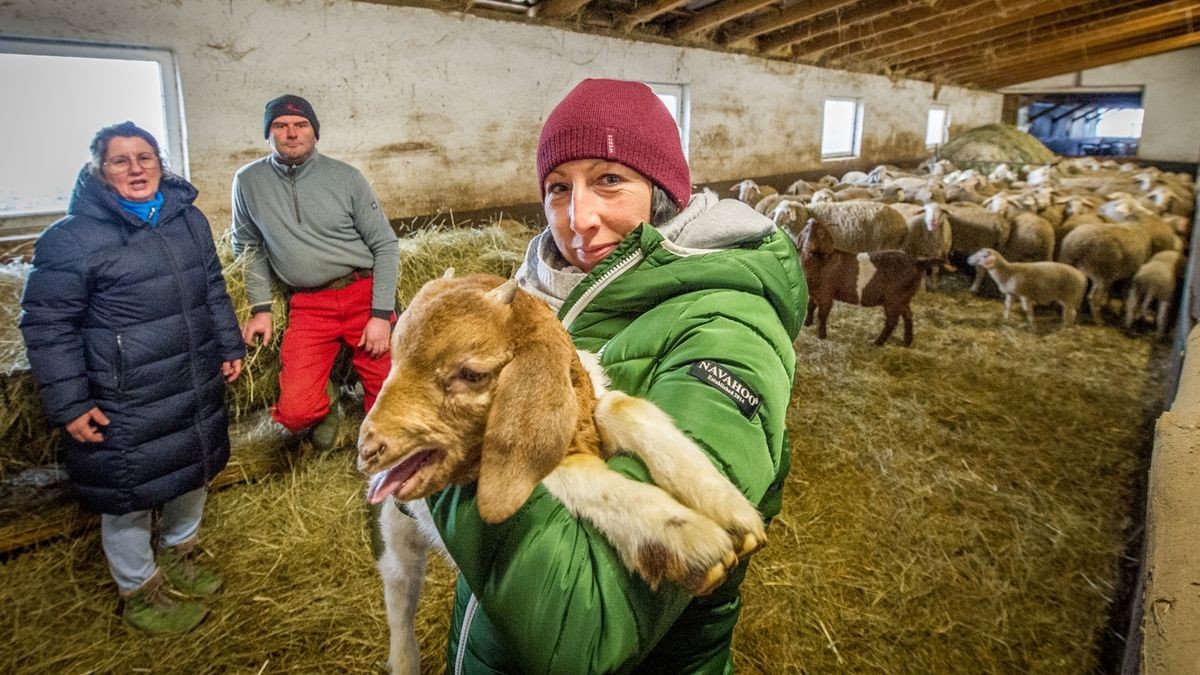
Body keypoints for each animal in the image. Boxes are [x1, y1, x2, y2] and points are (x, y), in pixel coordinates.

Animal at [357, 273, 768, 672]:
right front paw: (682, 535)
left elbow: (624, 407)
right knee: (399, 586)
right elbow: (574, 469)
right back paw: (404, 660)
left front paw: (729, 509)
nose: (368, 449)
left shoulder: (587, 410)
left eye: (471, 373)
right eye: (394, 361)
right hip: (396, 529)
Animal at [801, 218, 940, 345]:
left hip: (894, 299)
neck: (823, 261)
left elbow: (822, 314)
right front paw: (807, 323)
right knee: (908, 315)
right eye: (806, 231)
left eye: (821, 233)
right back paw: (907, 341)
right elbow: (810, 306)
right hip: (903, 299)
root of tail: (916, 263)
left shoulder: (826, 293)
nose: (808, 246)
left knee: (892, 321)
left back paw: (878, 342)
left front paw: (821, 335)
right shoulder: (813, 291)